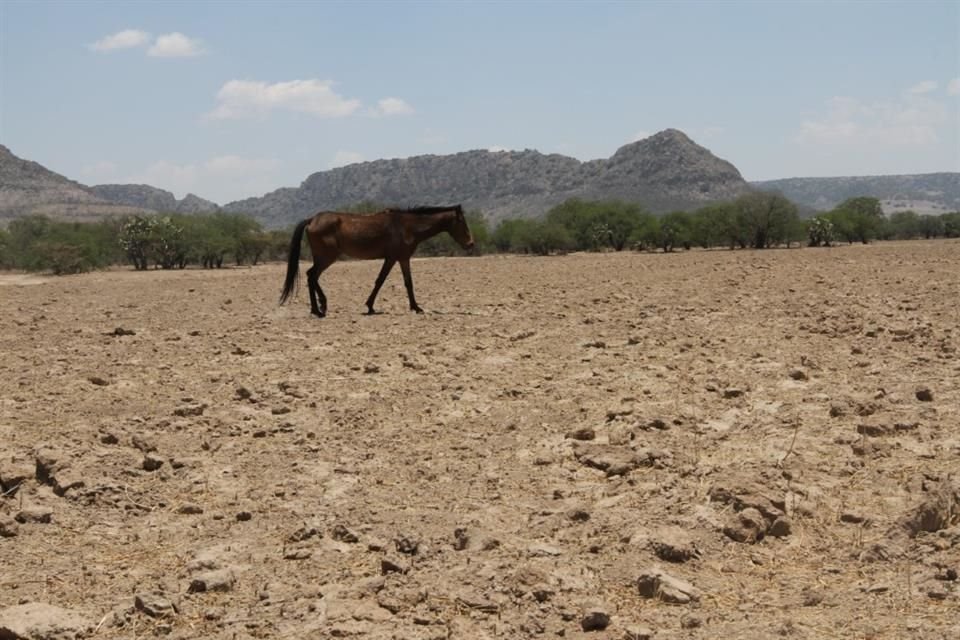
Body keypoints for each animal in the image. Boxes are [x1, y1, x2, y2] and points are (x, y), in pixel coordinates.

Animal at [278, 204, 472, 316]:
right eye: (462, 222)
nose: (471, 243)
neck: (407, 226)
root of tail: (312, 219)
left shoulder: (402, 259)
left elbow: (408, 282)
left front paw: (415, 307)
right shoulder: (393, 258)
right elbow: (381, 281)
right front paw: (370, 306)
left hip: (323, 257)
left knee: (312, 276)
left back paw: (319, 307)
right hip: (327, 257)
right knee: (312, 275)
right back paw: (318, 309)